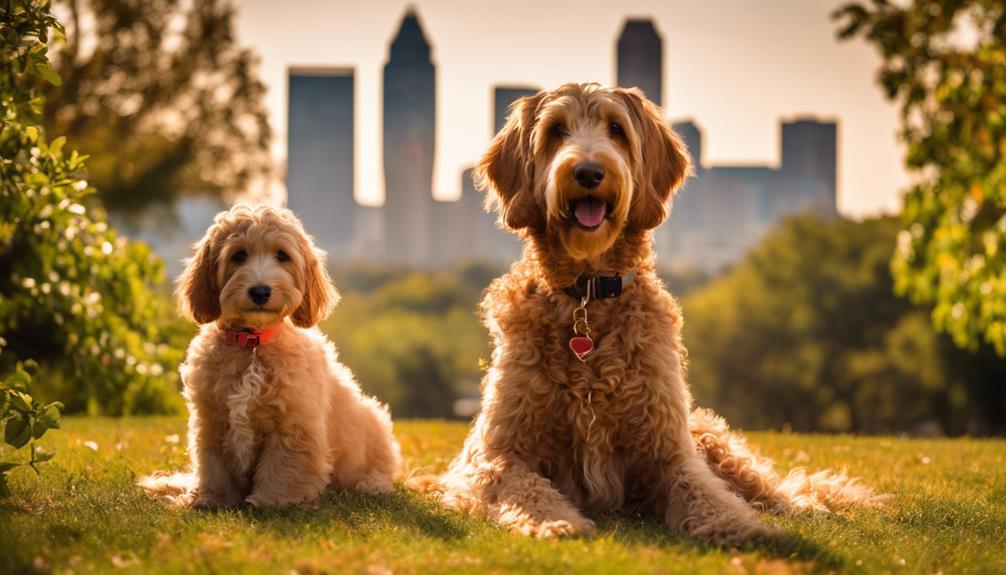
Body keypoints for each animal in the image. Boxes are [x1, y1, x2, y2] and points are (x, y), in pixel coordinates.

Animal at [141, 205, 400, 506]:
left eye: (282, 256)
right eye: (239, 255)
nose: (261, 291)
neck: (252, 342)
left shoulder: (293, 423)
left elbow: (283, 465)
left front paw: (271, 501)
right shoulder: (211, 420)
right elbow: (213, 465)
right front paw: (211, 498)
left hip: (373, 425)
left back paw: (370, 484)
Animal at [412, 84, 885, 542]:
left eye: (616, 129)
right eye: (555, 131)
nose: (588, 172)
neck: (587, 297)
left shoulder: (670, 450)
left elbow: (708, 493)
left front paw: (744, 527)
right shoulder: (495, 455)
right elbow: (527, 487)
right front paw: (555, 521)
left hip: (708, 436)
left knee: (770, 488)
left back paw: (805, 506)